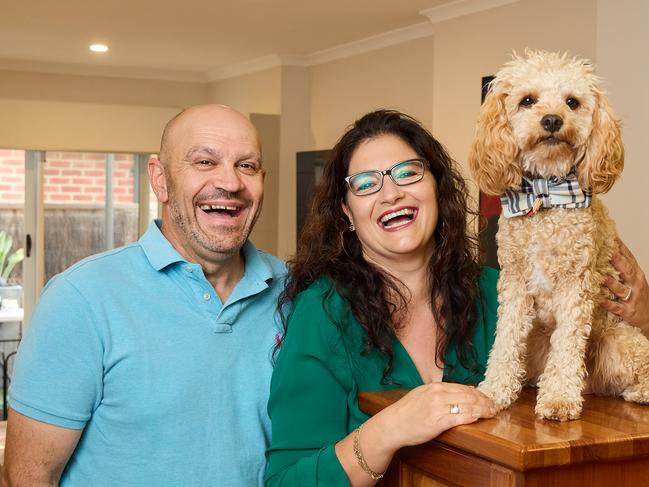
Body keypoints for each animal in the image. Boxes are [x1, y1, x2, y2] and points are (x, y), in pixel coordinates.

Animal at [468, 51, 648, 422]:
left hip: (621, 339)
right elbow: (505, 341)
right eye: (527, 100)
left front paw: (560, 399)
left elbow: (566, 346)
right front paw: (495, 391)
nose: (552, 120)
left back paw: (638, 392)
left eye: (572, 102)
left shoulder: (575, 286)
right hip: (538, 339)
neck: (545, 194)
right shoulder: (514, 284)